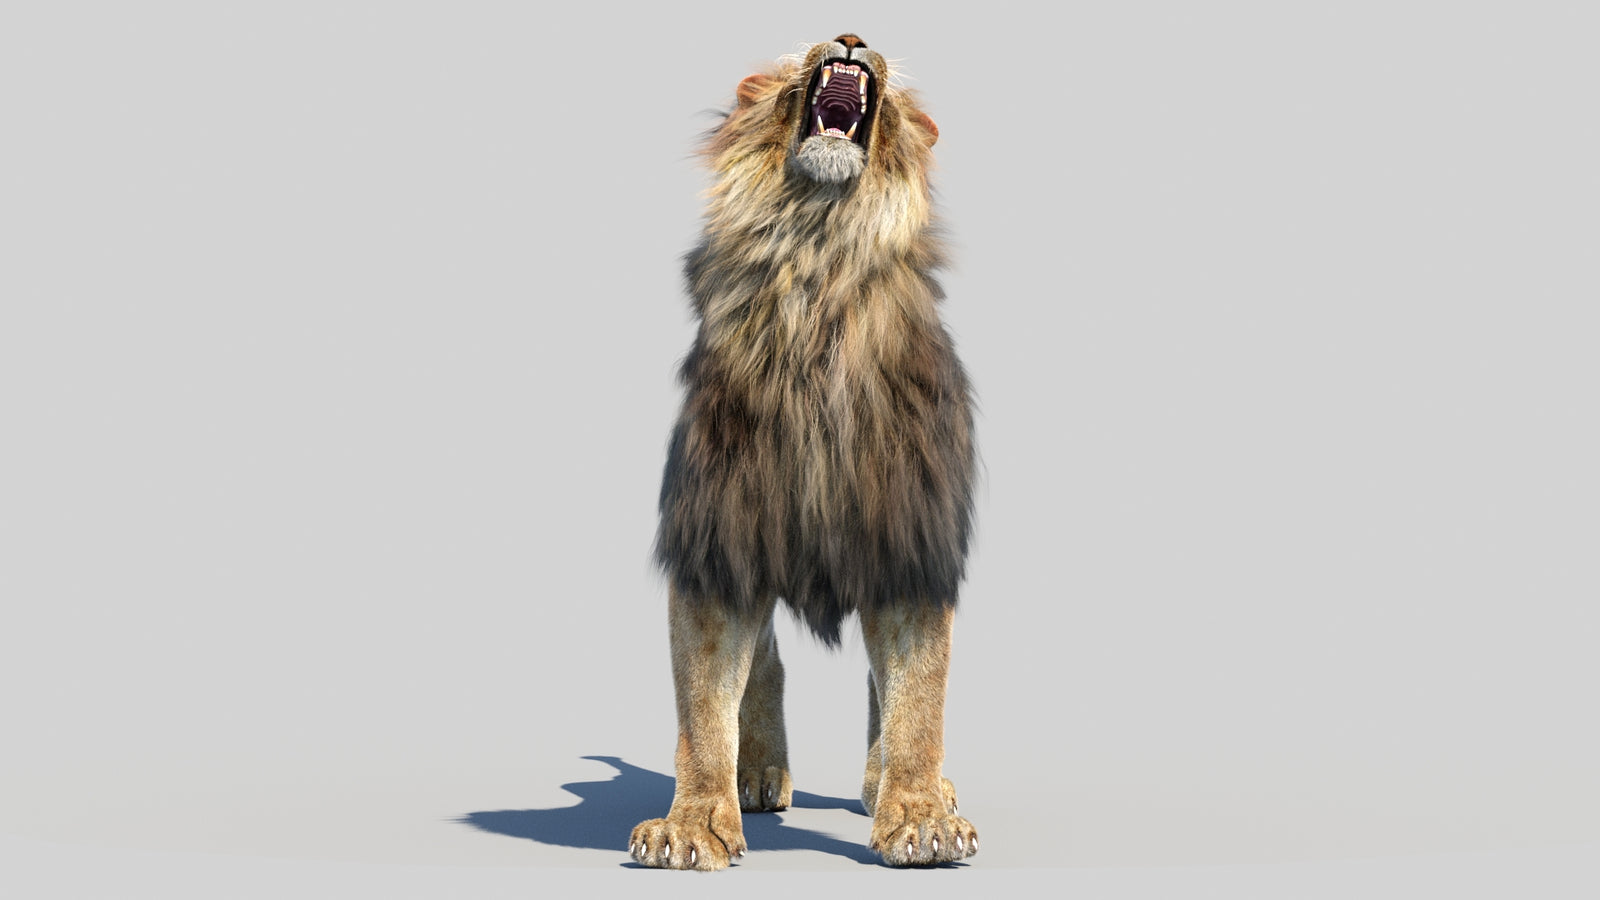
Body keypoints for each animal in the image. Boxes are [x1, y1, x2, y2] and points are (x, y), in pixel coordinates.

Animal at [629, 34, 978, 870]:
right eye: (793, 66)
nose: (850, 39)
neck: (817, 259)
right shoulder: (718, 539)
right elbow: (702, 702)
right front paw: (693, 823)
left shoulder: (910, 543)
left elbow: (918, 697)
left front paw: (919, 817)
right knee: (766, 660)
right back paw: (756, 773)